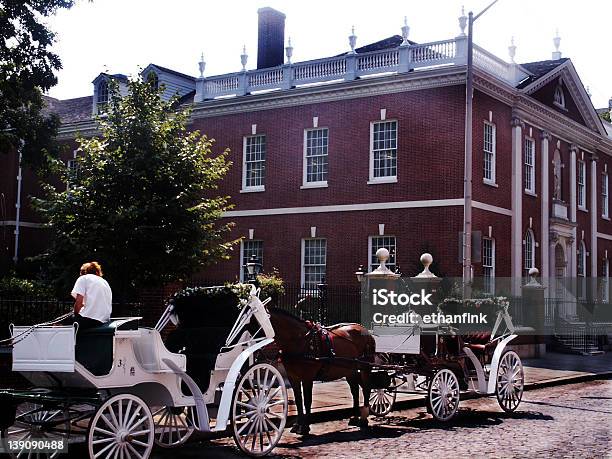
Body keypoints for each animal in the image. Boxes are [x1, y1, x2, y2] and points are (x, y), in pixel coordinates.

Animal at [268, 308, 376, 436]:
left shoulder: (307, 377)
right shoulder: (293, 377)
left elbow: (307, 400)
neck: (299, 341)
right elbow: (298, 400)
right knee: (355, 390)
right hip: (350, 370)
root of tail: (365, 330)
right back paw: (354, 417)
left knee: (366, 388)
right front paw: (297, 425)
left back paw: (364, 419)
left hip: (365, 367)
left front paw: (305, 427)